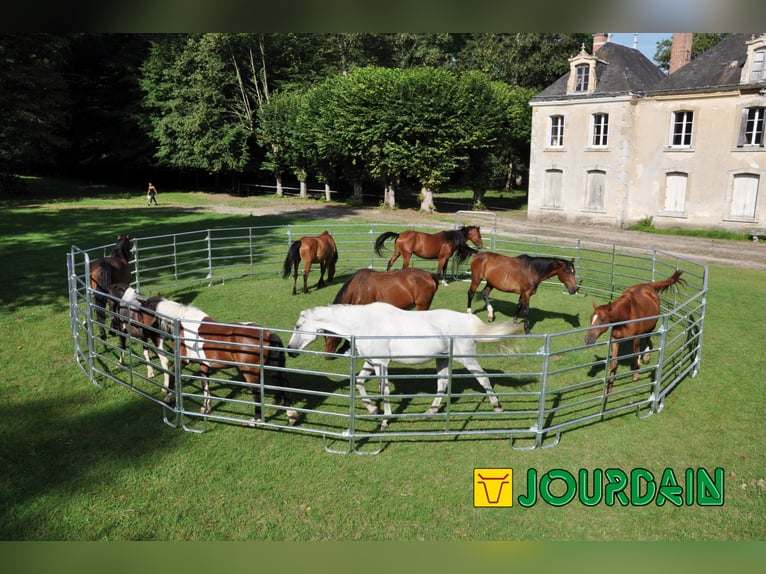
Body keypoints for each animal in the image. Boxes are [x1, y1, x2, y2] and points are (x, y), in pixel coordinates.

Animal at [135, 296, 297, 425]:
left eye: (142, 312)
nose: (141, 332)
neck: (184, 325)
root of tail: (267, 333)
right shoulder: (203, 364)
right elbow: (205, 385)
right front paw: (206, 407)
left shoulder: (182, 361)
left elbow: (172, 376)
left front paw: (168, 398)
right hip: (271, 369)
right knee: (284, 386)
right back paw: (291, 416)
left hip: (250, 373)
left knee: (257, 393)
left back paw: (255, 420)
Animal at [287, 301, 521, 428]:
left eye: (298, 326)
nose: (290, 350)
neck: (364, 323)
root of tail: (467, 320)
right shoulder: (371, 362)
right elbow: (360, 383)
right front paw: (373, 409)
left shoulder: (381, 364)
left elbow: (384, 390)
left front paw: (384, 420)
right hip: (443, 358)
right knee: (442, 384)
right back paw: (430, 412)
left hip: (467, 358)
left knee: (483, 378)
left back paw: (497, 407)